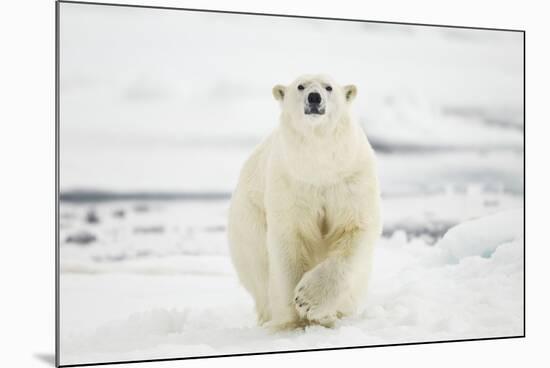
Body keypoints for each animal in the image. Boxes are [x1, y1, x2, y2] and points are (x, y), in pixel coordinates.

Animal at [226, 73, 382, 330]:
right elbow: (290, 237)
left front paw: (309, 302)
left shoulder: (350, 179)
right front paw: (295, 313)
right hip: (249, 223)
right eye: (300, 86)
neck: (318, 165)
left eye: (329, 87)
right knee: (260, 271)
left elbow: (353, 229)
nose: (314, 97)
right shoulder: (291, 182)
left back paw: (335, 315)